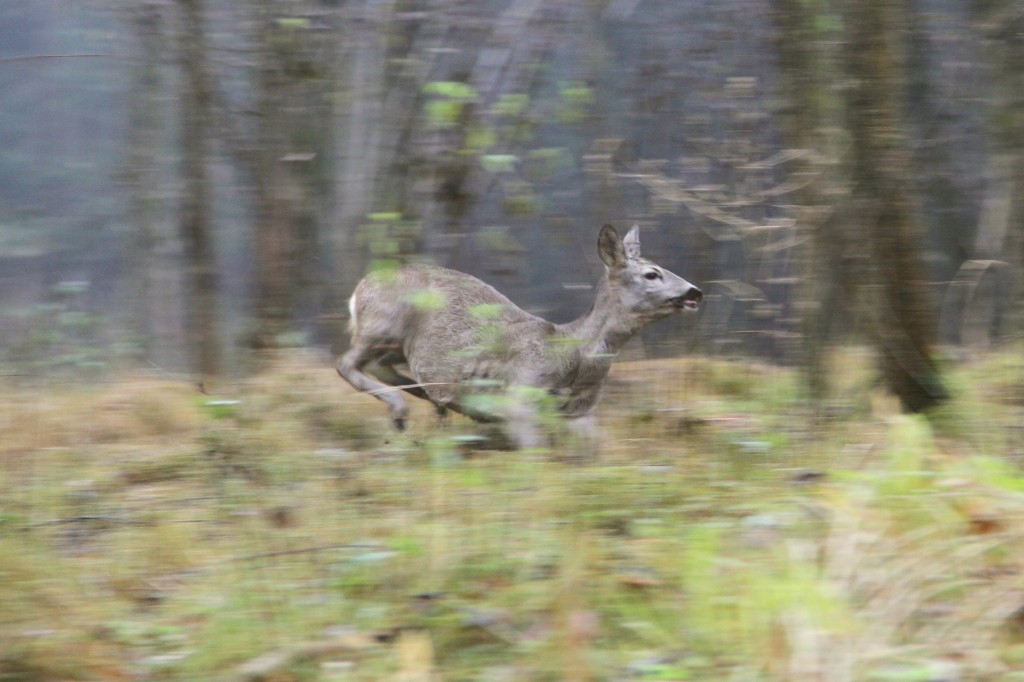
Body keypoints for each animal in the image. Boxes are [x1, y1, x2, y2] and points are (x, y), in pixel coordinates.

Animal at [337, 220, 704, 448]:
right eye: (652, 274)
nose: (695, 292)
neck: (571, 353)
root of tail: (357, 290)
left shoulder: (581, 412)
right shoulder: (522, 397)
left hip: (397, 344)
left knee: (382, 367)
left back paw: (432, 405)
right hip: (381, 323)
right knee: (347, 363)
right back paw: (403, 411)